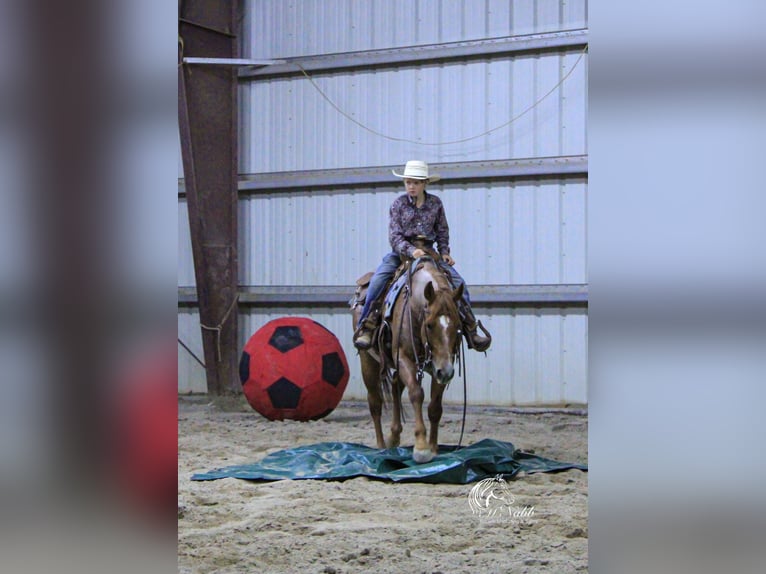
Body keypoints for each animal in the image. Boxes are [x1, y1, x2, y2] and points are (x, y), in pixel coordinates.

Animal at [352, 258, 464, 466]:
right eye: (429, 325)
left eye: (458, 324)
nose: (446, 373)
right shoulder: (404, 358)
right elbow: (416, 394)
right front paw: (421, 448)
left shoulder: (441, 364)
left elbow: (435, 406)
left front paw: (433, 448)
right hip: (368, 361)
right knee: (375, 402)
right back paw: (381, 446)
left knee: (396, 388)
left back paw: (394, 438)